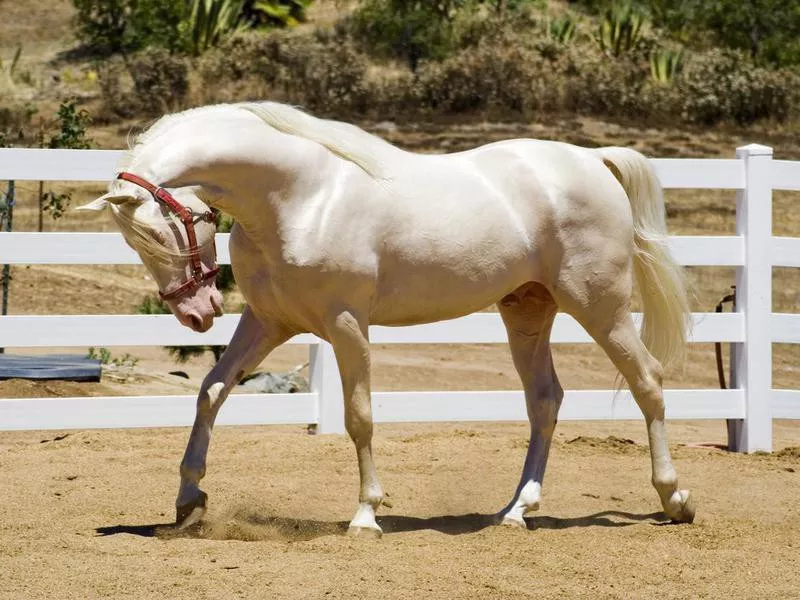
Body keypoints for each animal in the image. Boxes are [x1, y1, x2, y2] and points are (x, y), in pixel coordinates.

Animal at [78, 102, 696, 536]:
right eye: (137, 243)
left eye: (173, 228)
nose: (197, 312)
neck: (299, 196)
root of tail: (592, 160)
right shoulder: (269, 322)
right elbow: (210, 391)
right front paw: (189, 502)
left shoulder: (347, 324)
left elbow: (359, 417)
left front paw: (365, 516)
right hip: (527, 310)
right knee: (545, 400)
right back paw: (516, 511)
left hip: (600, 306)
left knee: (647, 381)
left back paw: (674, 500)